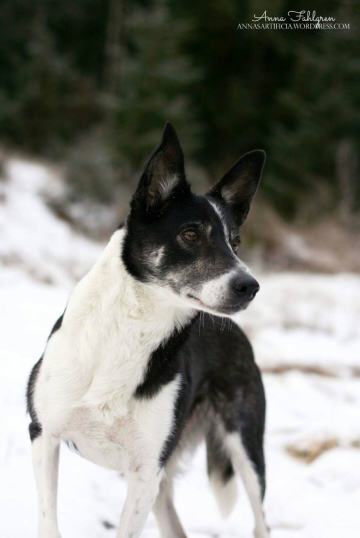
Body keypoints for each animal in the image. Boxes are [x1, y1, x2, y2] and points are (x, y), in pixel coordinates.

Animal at [26, 123, 268, 532]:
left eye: (235, 243)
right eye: (191, 234)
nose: (249, 287)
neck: (130, 329)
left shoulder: (146, 473)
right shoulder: (43, 435)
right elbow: (48, 524)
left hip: (245, 447)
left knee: (260, 521)